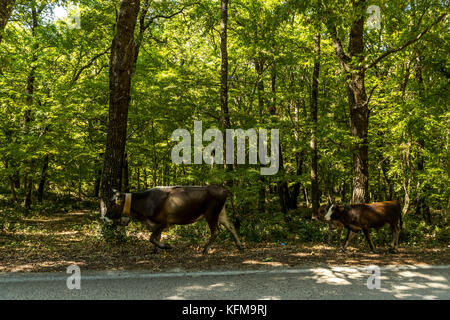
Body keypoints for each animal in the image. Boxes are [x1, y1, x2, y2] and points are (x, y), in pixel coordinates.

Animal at [102, 185, 243, 255]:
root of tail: (223, 188)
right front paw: (155, 251)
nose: (104, 218)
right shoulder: (155, 224)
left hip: (211, 214)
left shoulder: (164, 222)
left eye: (113, 204)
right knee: (231, 225)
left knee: (216, 231)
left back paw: (205, 249)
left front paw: (166, 246)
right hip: (220, 212)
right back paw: (239, 246)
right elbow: (156, 237)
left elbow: (152, 238)